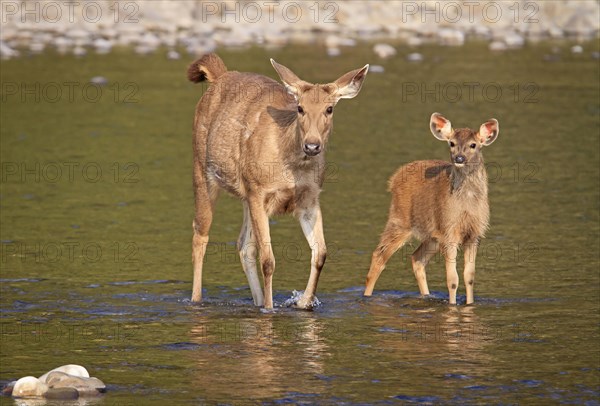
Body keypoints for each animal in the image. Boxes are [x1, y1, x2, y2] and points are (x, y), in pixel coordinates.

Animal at [188, 53, 368, 308]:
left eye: (329, 108)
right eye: (300, 108)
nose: (312, 145)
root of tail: (220, 75)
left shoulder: (309, 199)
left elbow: (321, 253)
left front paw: (303, 303)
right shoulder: (259, 190)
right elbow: (268, 260)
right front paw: (270, 309)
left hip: (245, 194)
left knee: (243, 246)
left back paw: (256, 300)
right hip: (203, 170)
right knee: (200, 235)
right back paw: (196, 300)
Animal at [364, 112, 500, 302]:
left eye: (474, 145)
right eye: (452, 143)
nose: (459, 158)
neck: (466, 205)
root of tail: (394, 178)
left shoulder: (475, 233)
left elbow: (469, 277)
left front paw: (469, 303)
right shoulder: (450, 231)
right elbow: (452, 279)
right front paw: (452, 305)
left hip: (432, 235)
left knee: (416, 258)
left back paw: (426, 295)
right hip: (400, 220)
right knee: (379, 255)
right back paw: (366, 296)